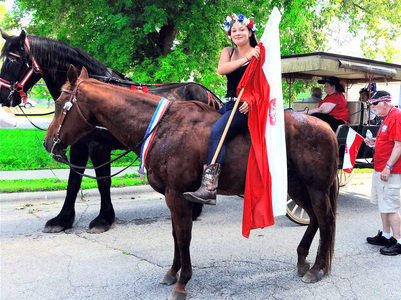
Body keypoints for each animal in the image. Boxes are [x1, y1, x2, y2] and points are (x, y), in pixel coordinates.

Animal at [0, 29, 222, 233]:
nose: (3, 97)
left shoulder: (99, 146)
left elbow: (103, 181)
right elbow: (73, 182)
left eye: (12, 61)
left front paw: (104, 219)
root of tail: (207, 92)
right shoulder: (78, 146)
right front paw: (62, 219)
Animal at [43, 66, 338, 300]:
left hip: (315, 188)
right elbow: (176, 235)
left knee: (325, 220)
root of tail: (325, 128)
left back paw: (316, 269)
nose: (47, 144)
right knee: (314, 219)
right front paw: (173, 272)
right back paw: (303, 260)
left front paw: (182, 282)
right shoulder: (173, 196)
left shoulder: (177, 194)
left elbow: (184, 236)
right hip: (296, 187)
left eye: (59, 104)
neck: (162, 128)